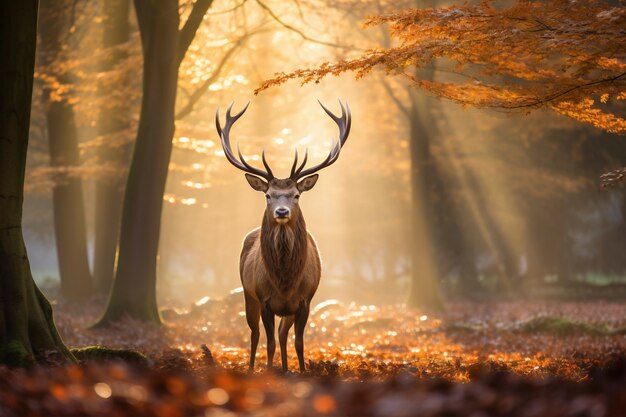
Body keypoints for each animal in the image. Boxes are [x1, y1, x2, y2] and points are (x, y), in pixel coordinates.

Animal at [214, 99, 352, 372]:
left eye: (296, 195)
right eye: (268, 195)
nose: (281, 211)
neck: (285, 281)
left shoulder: (304, 301)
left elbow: (298, 342)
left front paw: (301, 370)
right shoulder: (265, 299)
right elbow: (268, 343)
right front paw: (269, 371)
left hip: (286, 310)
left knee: (282, 334)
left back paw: (286, 368)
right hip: (247, 294)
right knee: (255, 334)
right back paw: (251, 368)